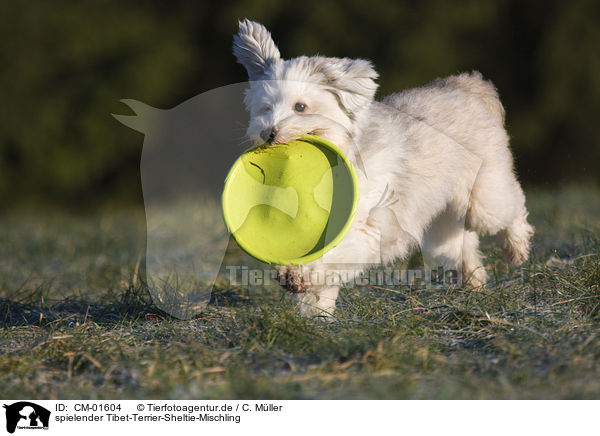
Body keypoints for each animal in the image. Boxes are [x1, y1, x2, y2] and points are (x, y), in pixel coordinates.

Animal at [232, 19, 532, 316]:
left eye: (301, 107)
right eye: (265, 109)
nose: (268, 133)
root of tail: (463, 84)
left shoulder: (371, 227)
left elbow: (338, 254)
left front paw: (301, 277)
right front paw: (314, 311)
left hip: (481, 198)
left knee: (510, 204)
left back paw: (516, 247)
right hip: (442, 215)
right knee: (461, 243)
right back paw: (473, 280)